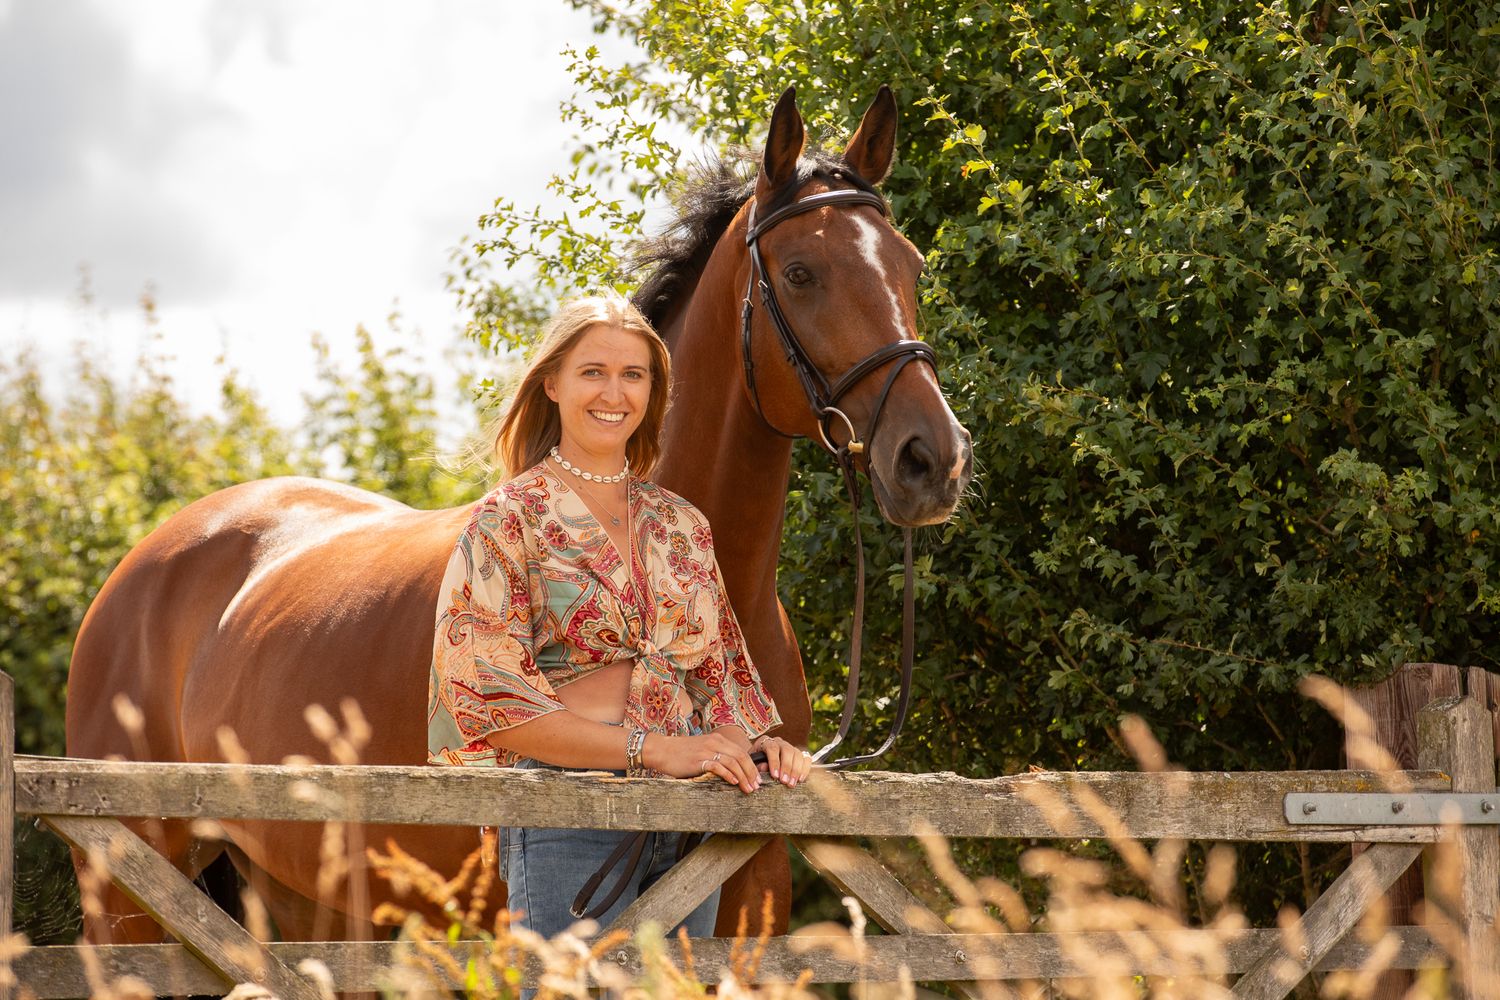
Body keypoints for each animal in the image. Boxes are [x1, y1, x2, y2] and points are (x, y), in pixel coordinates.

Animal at [64, 85, 972, 950]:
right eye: (801, 272)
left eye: (911, 266)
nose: (933, 459)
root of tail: (139, 569)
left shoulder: (750, 891)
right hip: (130, 887)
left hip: (299, 891)